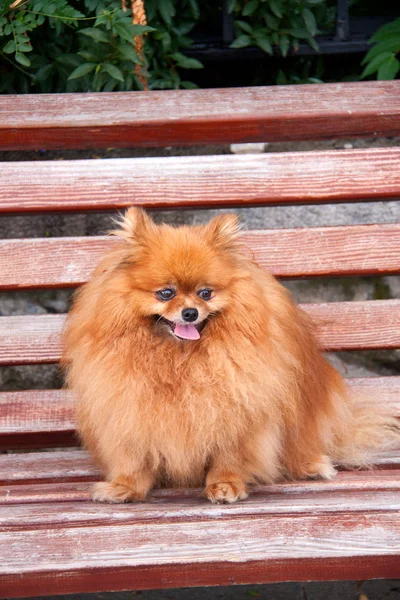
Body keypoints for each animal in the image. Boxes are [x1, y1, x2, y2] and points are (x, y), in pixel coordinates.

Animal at [64, 209, 398, 504]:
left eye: (205, 293)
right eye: (166, 293)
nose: (190, 312)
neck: (180, 360)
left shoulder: (236, 410)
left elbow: (228, 456)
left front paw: (225, 485)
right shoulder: (128, 409)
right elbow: (134, 457)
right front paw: (125, 487)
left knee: (302, 445)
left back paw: (312, 465)